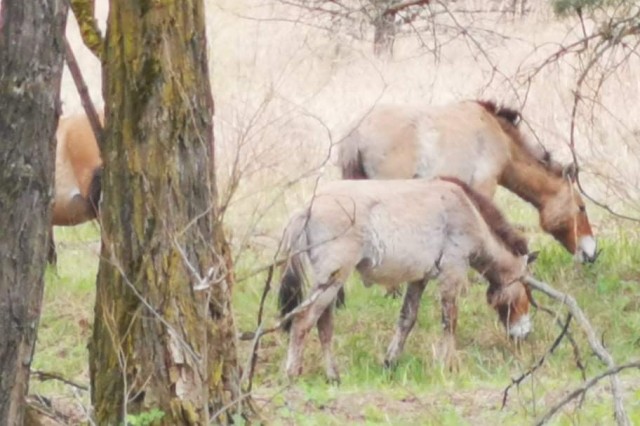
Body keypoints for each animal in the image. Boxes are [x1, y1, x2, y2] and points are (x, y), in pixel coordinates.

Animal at [278, 175, 536, 382]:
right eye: (526, 290)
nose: (524, 335)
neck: (466, 209)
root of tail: (308, 207)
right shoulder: (452, 272)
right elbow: (450, 320)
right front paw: (449, 365)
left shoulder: (418, 279)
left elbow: (407, 319)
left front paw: (390, 362)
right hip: (330, 282)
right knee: (302, 321)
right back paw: (292, 373)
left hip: (331, 285)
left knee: (323, 325)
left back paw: (333, 375)